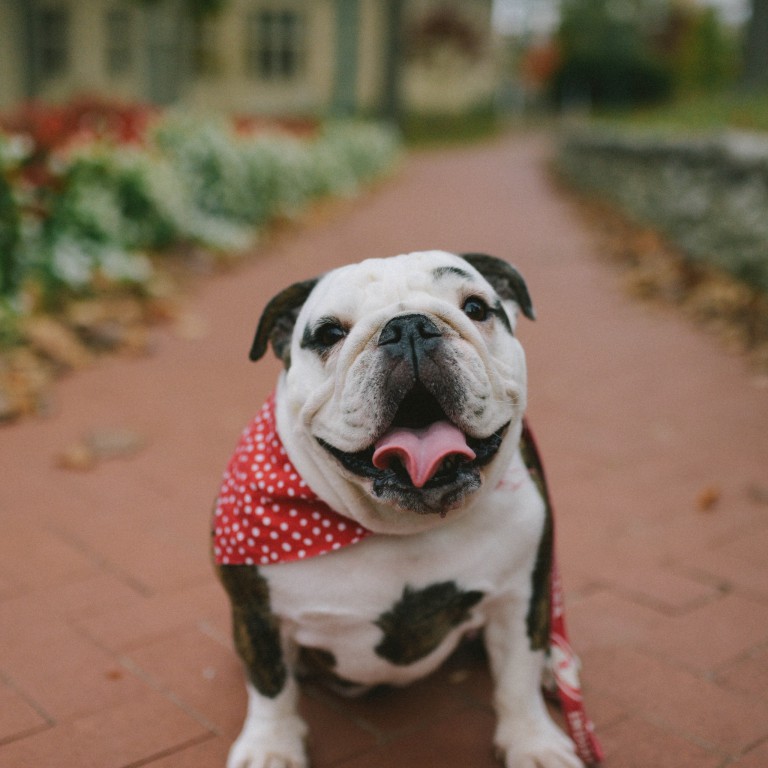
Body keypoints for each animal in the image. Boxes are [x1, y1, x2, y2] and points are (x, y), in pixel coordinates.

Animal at [213, 252, 584, 768]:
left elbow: (517, 677)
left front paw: (534, 743)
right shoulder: (256, 614)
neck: (399, 527)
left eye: (476, 308)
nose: (408, 326)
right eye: (329, 334)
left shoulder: (520, 596)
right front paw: (270, 747)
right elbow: (270, 687)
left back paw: (556, 666)